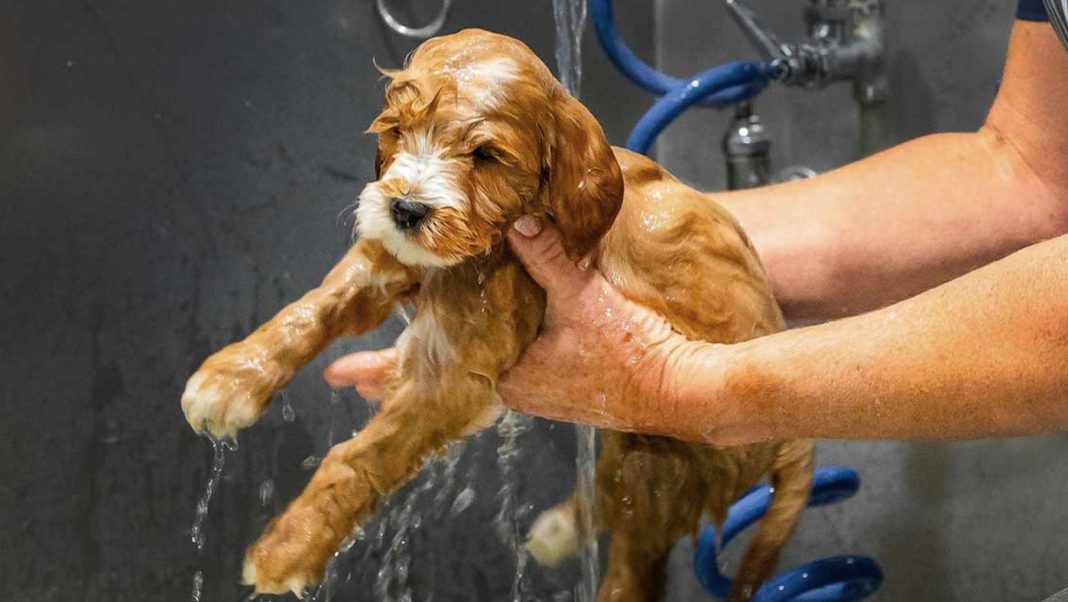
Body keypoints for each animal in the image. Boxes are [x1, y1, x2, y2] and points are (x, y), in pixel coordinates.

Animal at [179, 27, 811, 597]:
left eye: (485, 155)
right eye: (397, 131)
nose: (406, 209)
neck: (481, 251)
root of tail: (793, 445)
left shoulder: (458, 373)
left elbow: (366, 454)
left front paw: (290, 546)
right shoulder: (394, 258)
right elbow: (315, 306)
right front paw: (231, 378)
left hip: (662, 462)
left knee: (634, 557)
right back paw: (561, 528)